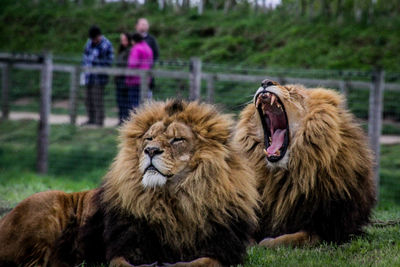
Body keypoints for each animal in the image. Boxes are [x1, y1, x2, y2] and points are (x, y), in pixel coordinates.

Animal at [0, 100, 260, 267]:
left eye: (177, 139)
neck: (173, 201)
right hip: (46, 203)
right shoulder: (123, 249)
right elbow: (122, 263)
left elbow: (202, 262)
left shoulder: (222, 250)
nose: (151, 150)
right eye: (149, 138)